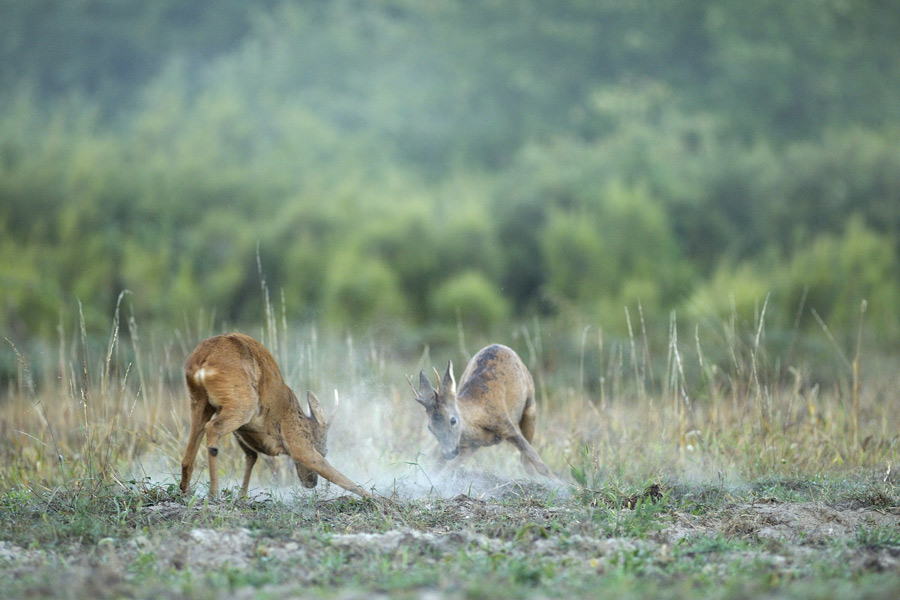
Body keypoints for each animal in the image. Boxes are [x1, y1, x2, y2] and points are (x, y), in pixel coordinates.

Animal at [179, 336, 372, 500]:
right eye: (323, 451)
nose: (312, 483)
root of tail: (202, 361)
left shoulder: (242, 433)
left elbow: (251, 457)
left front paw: (241, 496)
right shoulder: (298, 443)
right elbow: (341, 478)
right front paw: (378, 500)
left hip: (200, 401)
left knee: (191, 448)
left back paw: (186, 491)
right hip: (243, 403)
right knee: (212, 428)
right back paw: (213, 494)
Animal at [412, 344, 560, 480]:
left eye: (453, 420)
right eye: (429, 427)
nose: (448, 453)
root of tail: (499, 345)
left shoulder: (505, 424)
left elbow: (538, 462)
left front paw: (558, 483)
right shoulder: (469, 446)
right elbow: (442, 468)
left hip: (530, 404)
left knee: (526, 457)